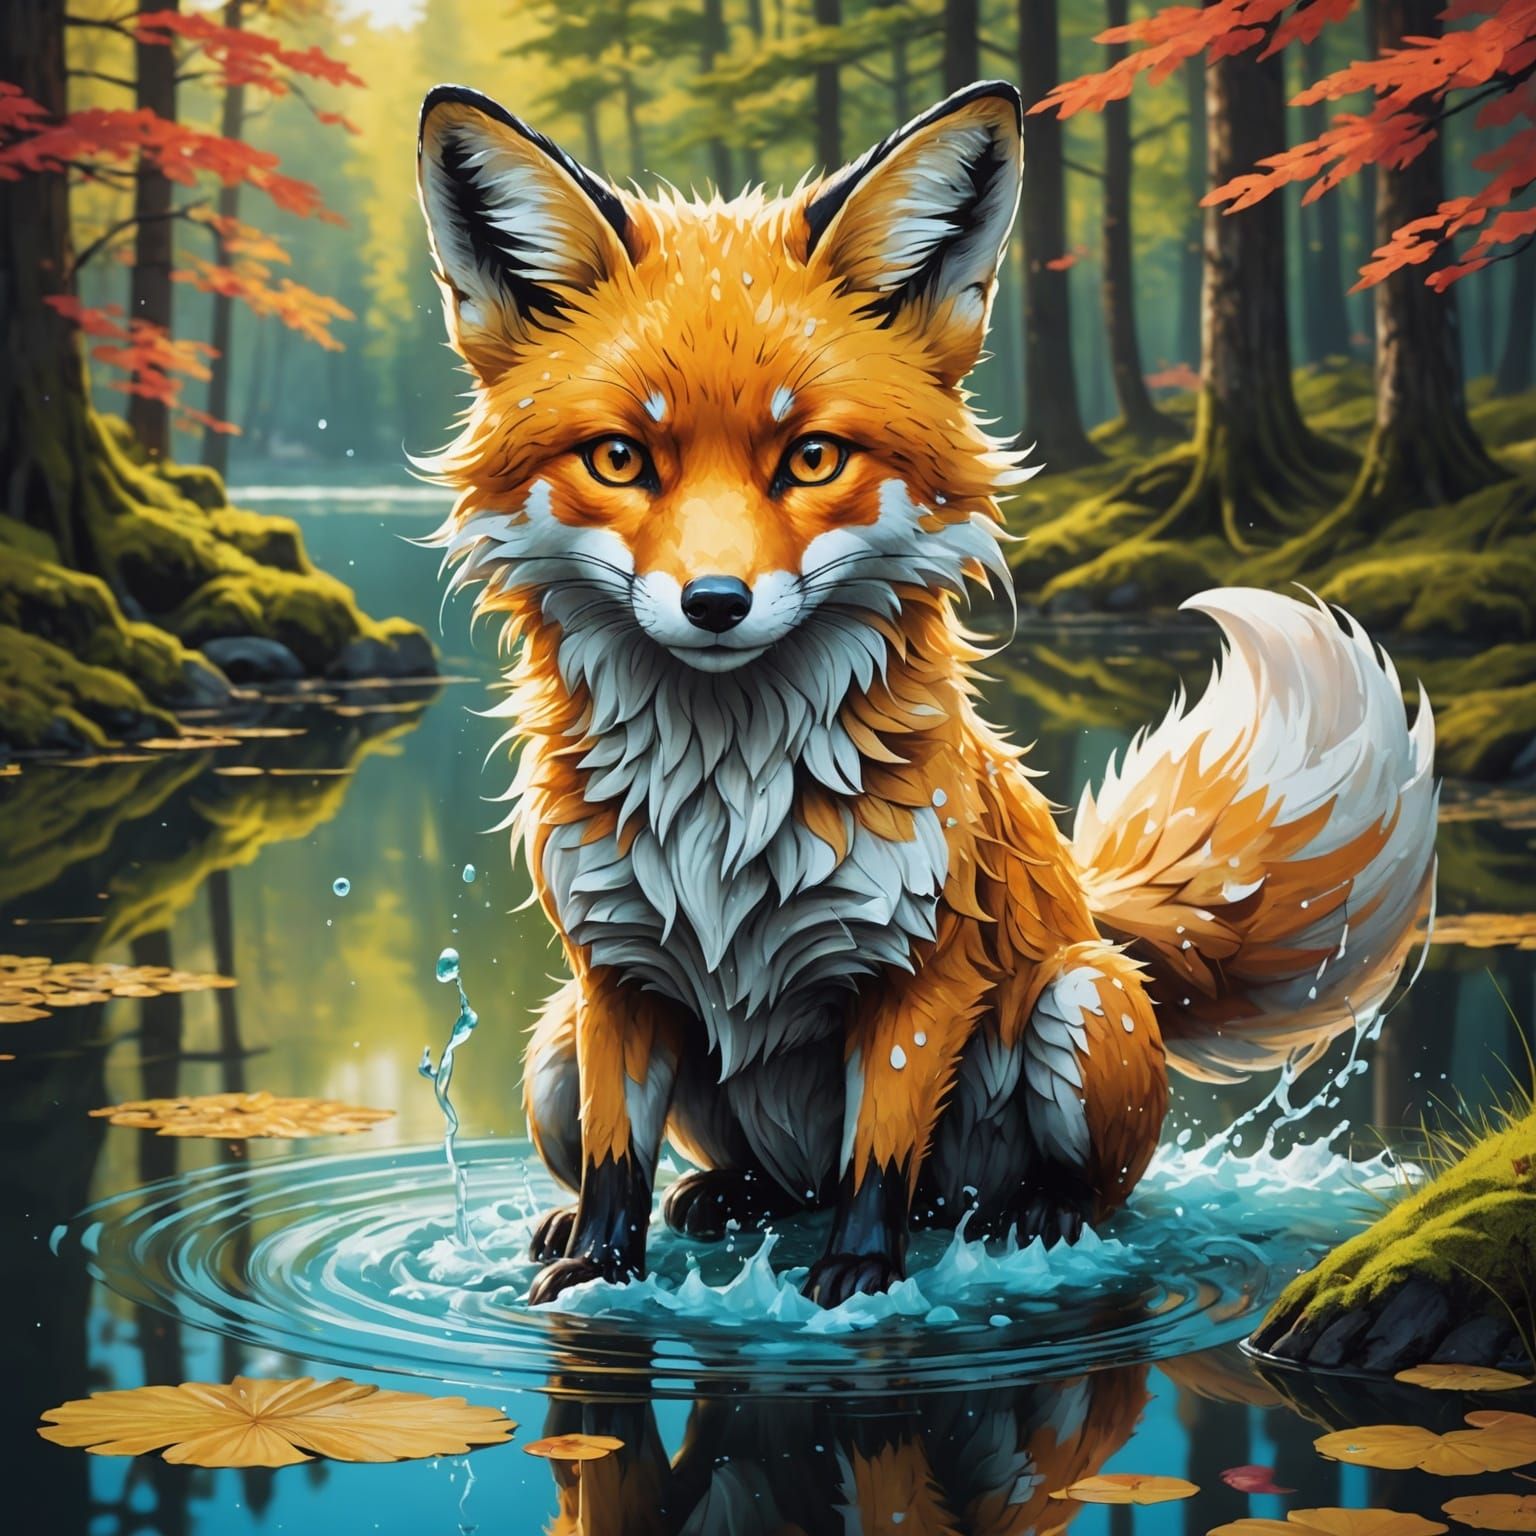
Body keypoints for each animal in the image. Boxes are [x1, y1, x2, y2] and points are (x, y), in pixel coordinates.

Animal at [414, 80, 1438, 1308]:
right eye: (621, 459)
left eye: (811, 458)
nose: (715, 603)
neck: (725, 798)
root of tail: (1104, 922)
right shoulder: (614, 975)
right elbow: (620, 1161)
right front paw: (600, 1272)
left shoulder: (920, 972)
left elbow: (878, 1160)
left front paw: (859, 1280)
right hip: (555, 1042)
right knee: (742, 1179)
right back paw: (694, 1203)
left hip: (1080, 1003)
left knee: (1068, 1190)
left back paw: (1031, 1217)